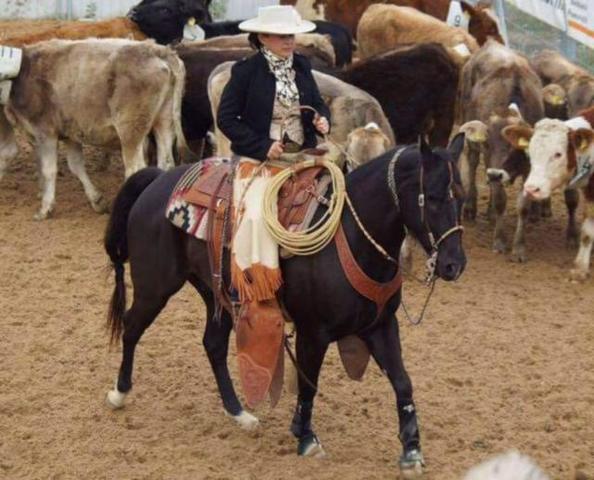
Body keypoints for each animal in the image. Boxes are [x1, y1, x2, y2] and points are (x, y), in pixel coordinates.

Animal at [0, 39, 188, 220]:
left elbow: (49, 170)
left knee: (136, 169)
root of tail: (158, 50)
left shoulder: (45, 133)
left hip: (131, 132)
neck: (23, 71)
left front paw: (45, 209)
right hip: (164, 122)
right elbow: (76, 166)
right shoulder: (70, 135)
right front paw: (97, 200)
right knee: (165, 163)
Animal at [103, 133, 467, 476]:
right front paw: (306, 438)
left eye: (461, 197)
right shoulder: (314, 332)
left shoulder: (381, 325)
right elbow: (308, 384)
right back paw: (120, 393)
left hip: (215, 292)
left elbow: (403, 382)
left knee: (213, 344)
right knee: (132, 325)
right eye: (433, 197)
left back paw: (239, 413)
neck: (351, 235)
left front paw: (412, 452)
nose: (454, 264)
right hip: (155, 285)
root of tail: (158, 180)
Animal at [457, 39, 544, 261]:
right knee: (472, 162)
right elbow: (500, 200)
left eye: (513, 145)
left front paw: (519, 248)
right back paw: (471, 206)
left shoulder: (528, 168)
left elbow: (523, 206)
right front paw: (499, 241)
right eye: (488, 144)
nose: (495, 175)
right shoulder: (490, 163)